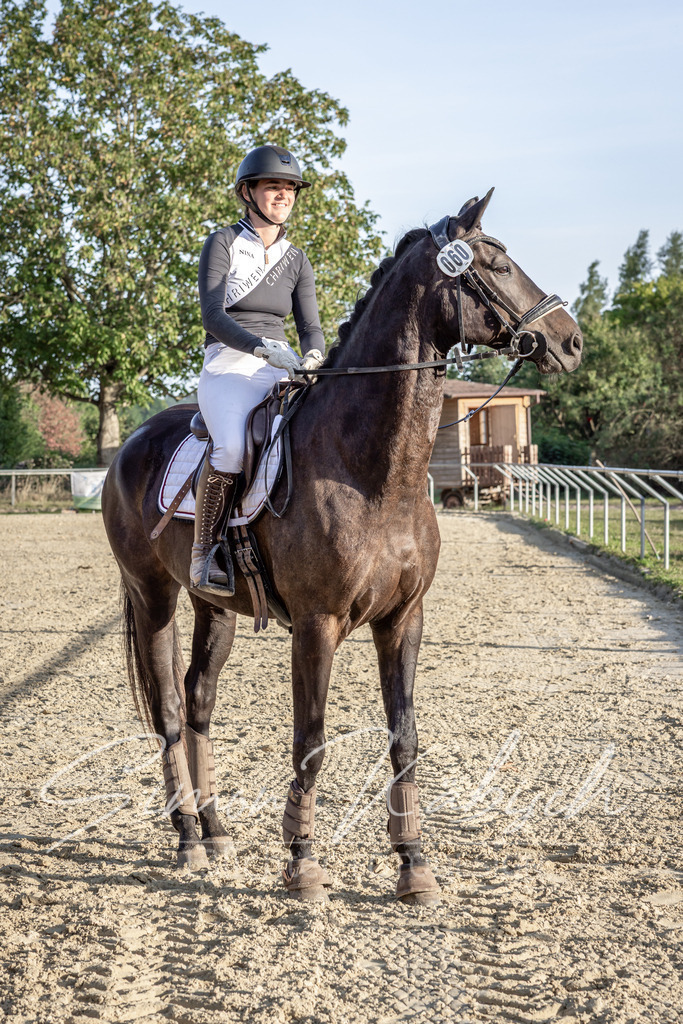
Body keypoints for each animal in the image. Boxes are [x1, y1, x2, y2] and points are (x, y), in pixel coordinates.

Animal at [102, 189, 582, 904]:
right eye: (495, 265)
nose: (570, 341)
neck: (373, 472)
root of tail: (130, 445)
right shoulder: (316, 623)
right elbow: (312, 740)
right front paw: (302, 863)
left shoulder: (404, 619)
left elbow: (404, 736)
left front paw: (413, 863)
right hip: (152, 593)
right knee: (166, 708)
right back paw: (187, 837)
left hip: (212, 606)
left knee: (198, 703)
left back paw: (215, 831)